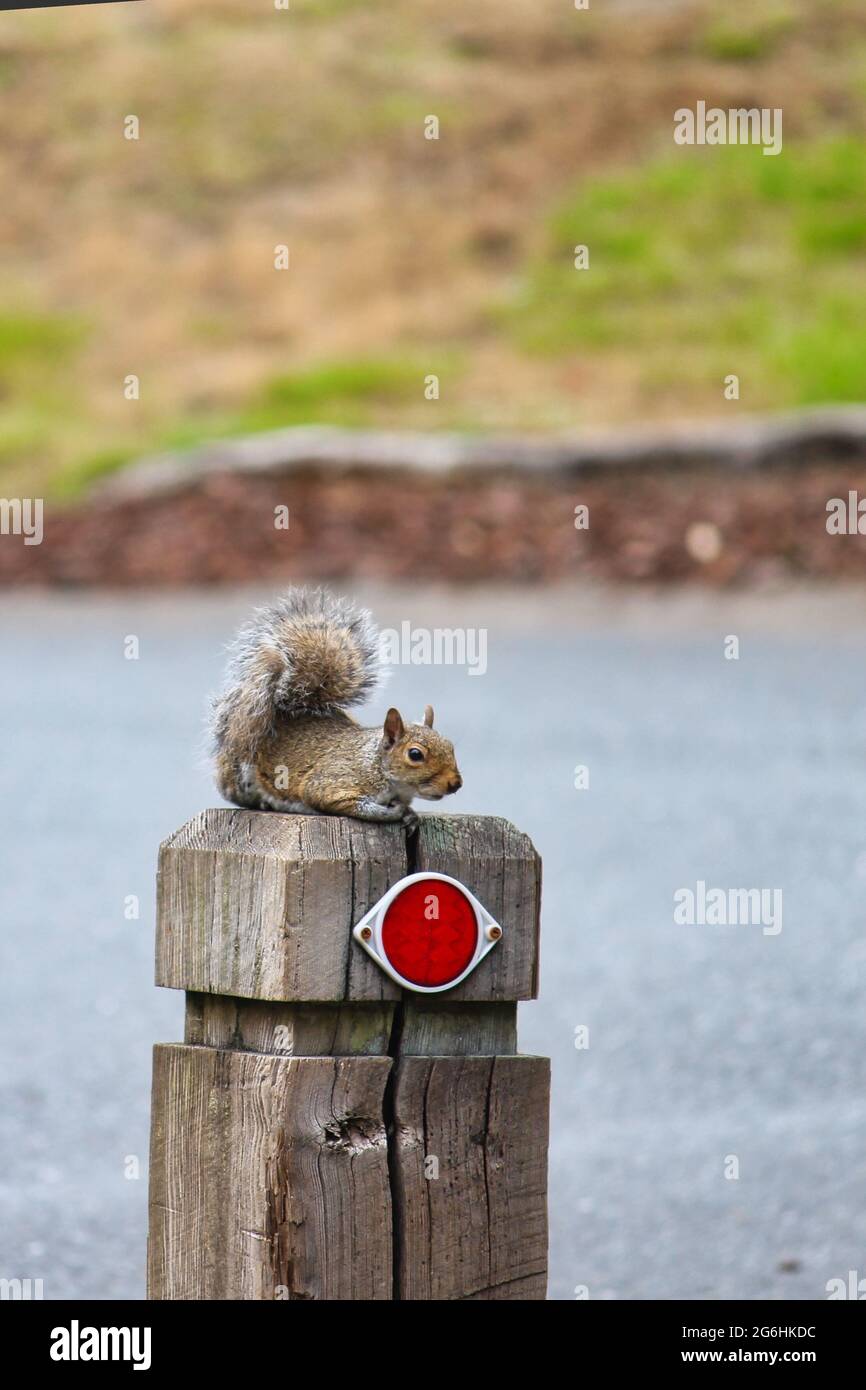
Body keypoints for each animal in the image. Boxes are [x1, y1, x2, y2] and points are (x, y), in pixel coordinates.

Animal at [210, 587, 462, 828]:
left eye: (450, 745)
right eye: (415, 754)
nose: (456, 783)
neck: (373, 762)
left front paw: (410, 815)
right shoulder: (331, 784)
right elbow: (351, 805)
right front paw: (394, 812)